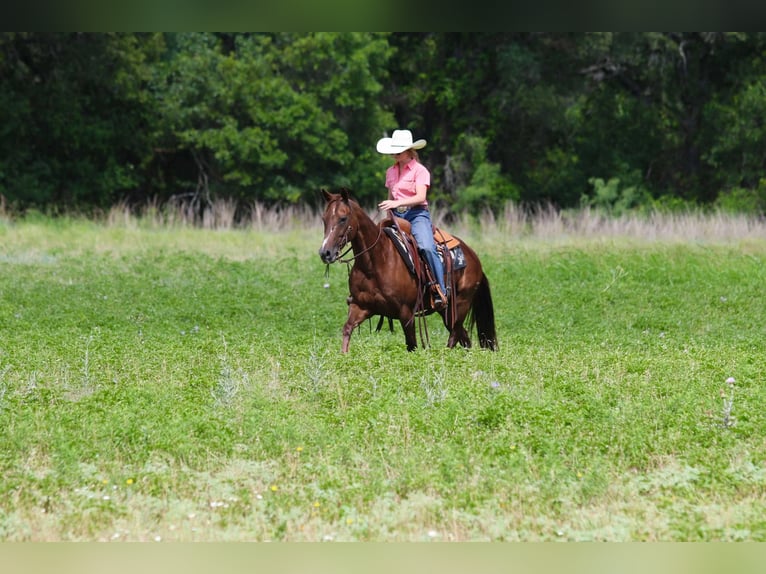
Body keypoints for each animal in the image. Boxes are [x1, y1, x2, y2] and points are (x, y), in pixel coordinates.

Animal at [318, 188, 497, 353]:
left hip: (461, 304)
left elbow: (412, 345)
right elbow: (347, 330)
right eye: (324, 219)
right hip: (447, 311)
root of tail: (473, 256)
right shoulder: (360, 306)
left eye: (343, 218)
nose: (325, 253)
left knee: (454, 334)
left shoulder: (406, 313)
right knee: (463, 336)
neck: (375, 262)